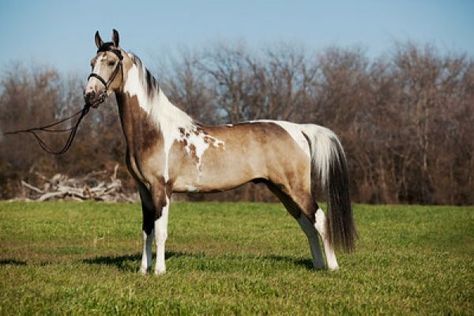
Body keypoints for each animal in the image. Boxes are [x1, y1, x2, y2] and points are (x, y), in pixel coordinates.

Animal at [83, 29, 356, 276]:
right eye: (92, 62)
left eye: (111, 62)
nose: (90, 96)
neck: (154, 130)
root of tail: (298, 129)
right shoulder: (144, 191)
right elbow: (146, 231)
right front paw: (142, 270)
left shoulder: (161, 189)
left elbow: (160, 232)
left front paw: (159, 271)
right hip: (282, 190)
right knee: (307, 225)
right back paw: (318, 265)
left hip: (296, 188)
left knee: (320, 220)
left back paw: (332, 267)